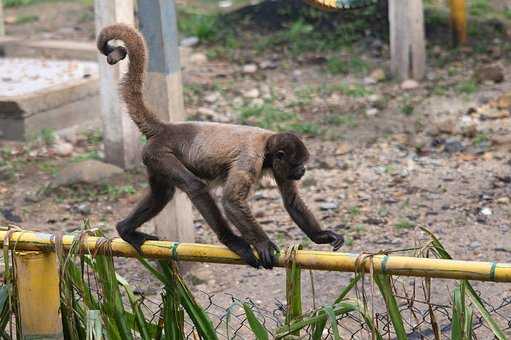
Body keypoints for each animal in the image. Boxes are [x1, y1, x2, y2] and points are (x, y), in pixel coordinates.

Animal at [96, 23, 344, 268]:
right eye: (298, 163)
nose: (303, 171)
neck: (267, 147)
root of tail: (167, 128)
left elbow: (291, 201)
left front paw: (321, 236)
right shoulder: (251, 159)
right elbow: (231, 202)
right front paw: (263, 243)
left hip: (152, 158)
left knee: (162, 194)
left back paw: (125, 230)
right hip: (159, 154)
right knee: (194, 186)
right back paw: (232, 241)